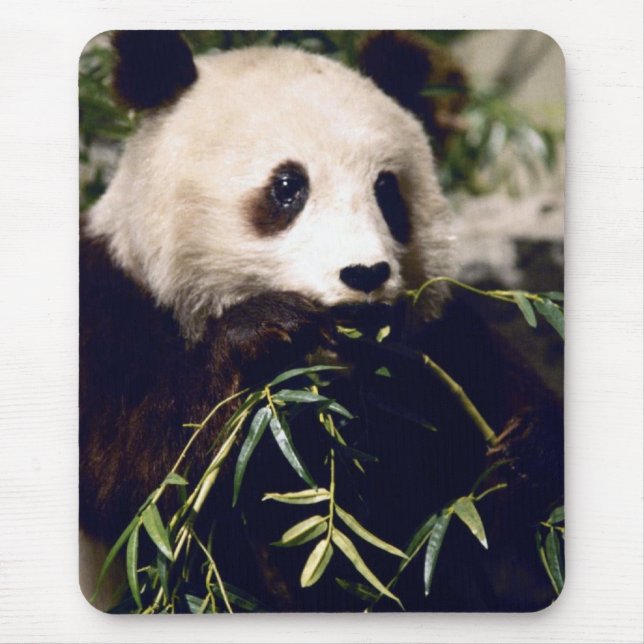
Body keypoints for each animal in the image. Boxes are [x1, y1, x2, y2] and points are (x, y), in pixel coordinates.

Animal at [80, 31, 563, 612]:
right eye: (288, 186)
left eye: (387, 190)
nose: (365, 274)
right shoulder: (110, 308)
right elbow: (136, 474)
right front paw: (263, 328)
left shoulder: (437, 352)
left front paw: (524, 455)